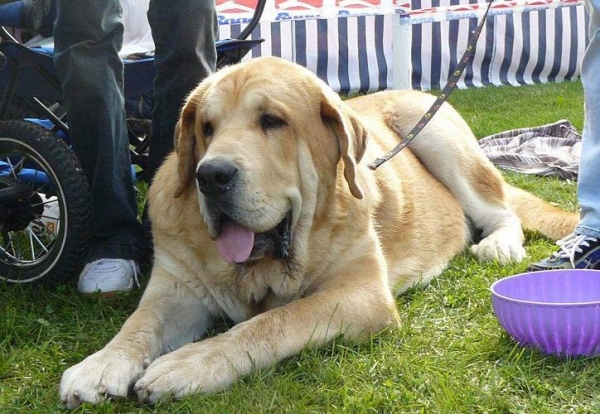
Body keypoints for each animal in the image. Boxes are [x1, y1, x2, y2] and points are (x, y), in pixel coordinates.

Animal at [59, 55, 576, 408]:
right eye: (206, 127)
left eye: (272, 121)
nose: (211, 175)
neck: (264, 269)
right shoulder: (177, 288)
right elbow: (139, 324)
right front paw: (99, 365)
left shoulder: (361, 294)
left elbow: (272, 322)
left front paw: (189, 364)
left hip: (436, 134)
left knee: (501, 210)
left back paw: (498, 245)